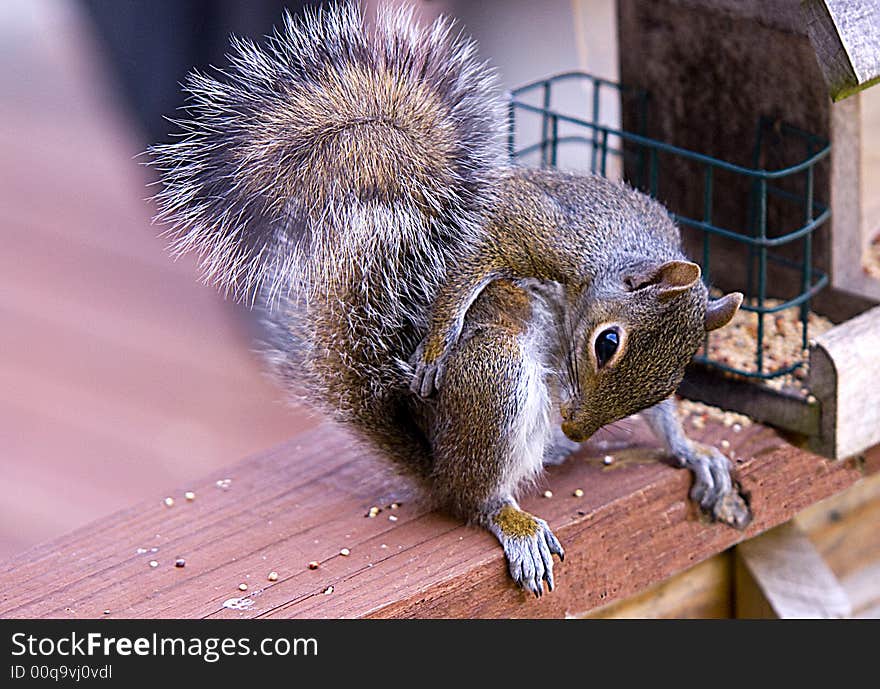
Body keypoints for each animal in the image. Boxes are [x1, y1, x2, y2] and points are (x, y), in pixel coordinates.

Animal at [150, 2, 748, 596]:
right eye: (607, 344)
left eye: (671, 383)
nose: (579, 425)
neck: (616, 251)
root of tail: (438, 466)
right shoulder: (531, 231)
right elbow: (470, 261)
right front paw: (437, 346)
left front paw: (691, 450)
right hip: (497, 376)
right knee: (472, 500)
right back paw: (512, 514)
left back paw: (558, 450)